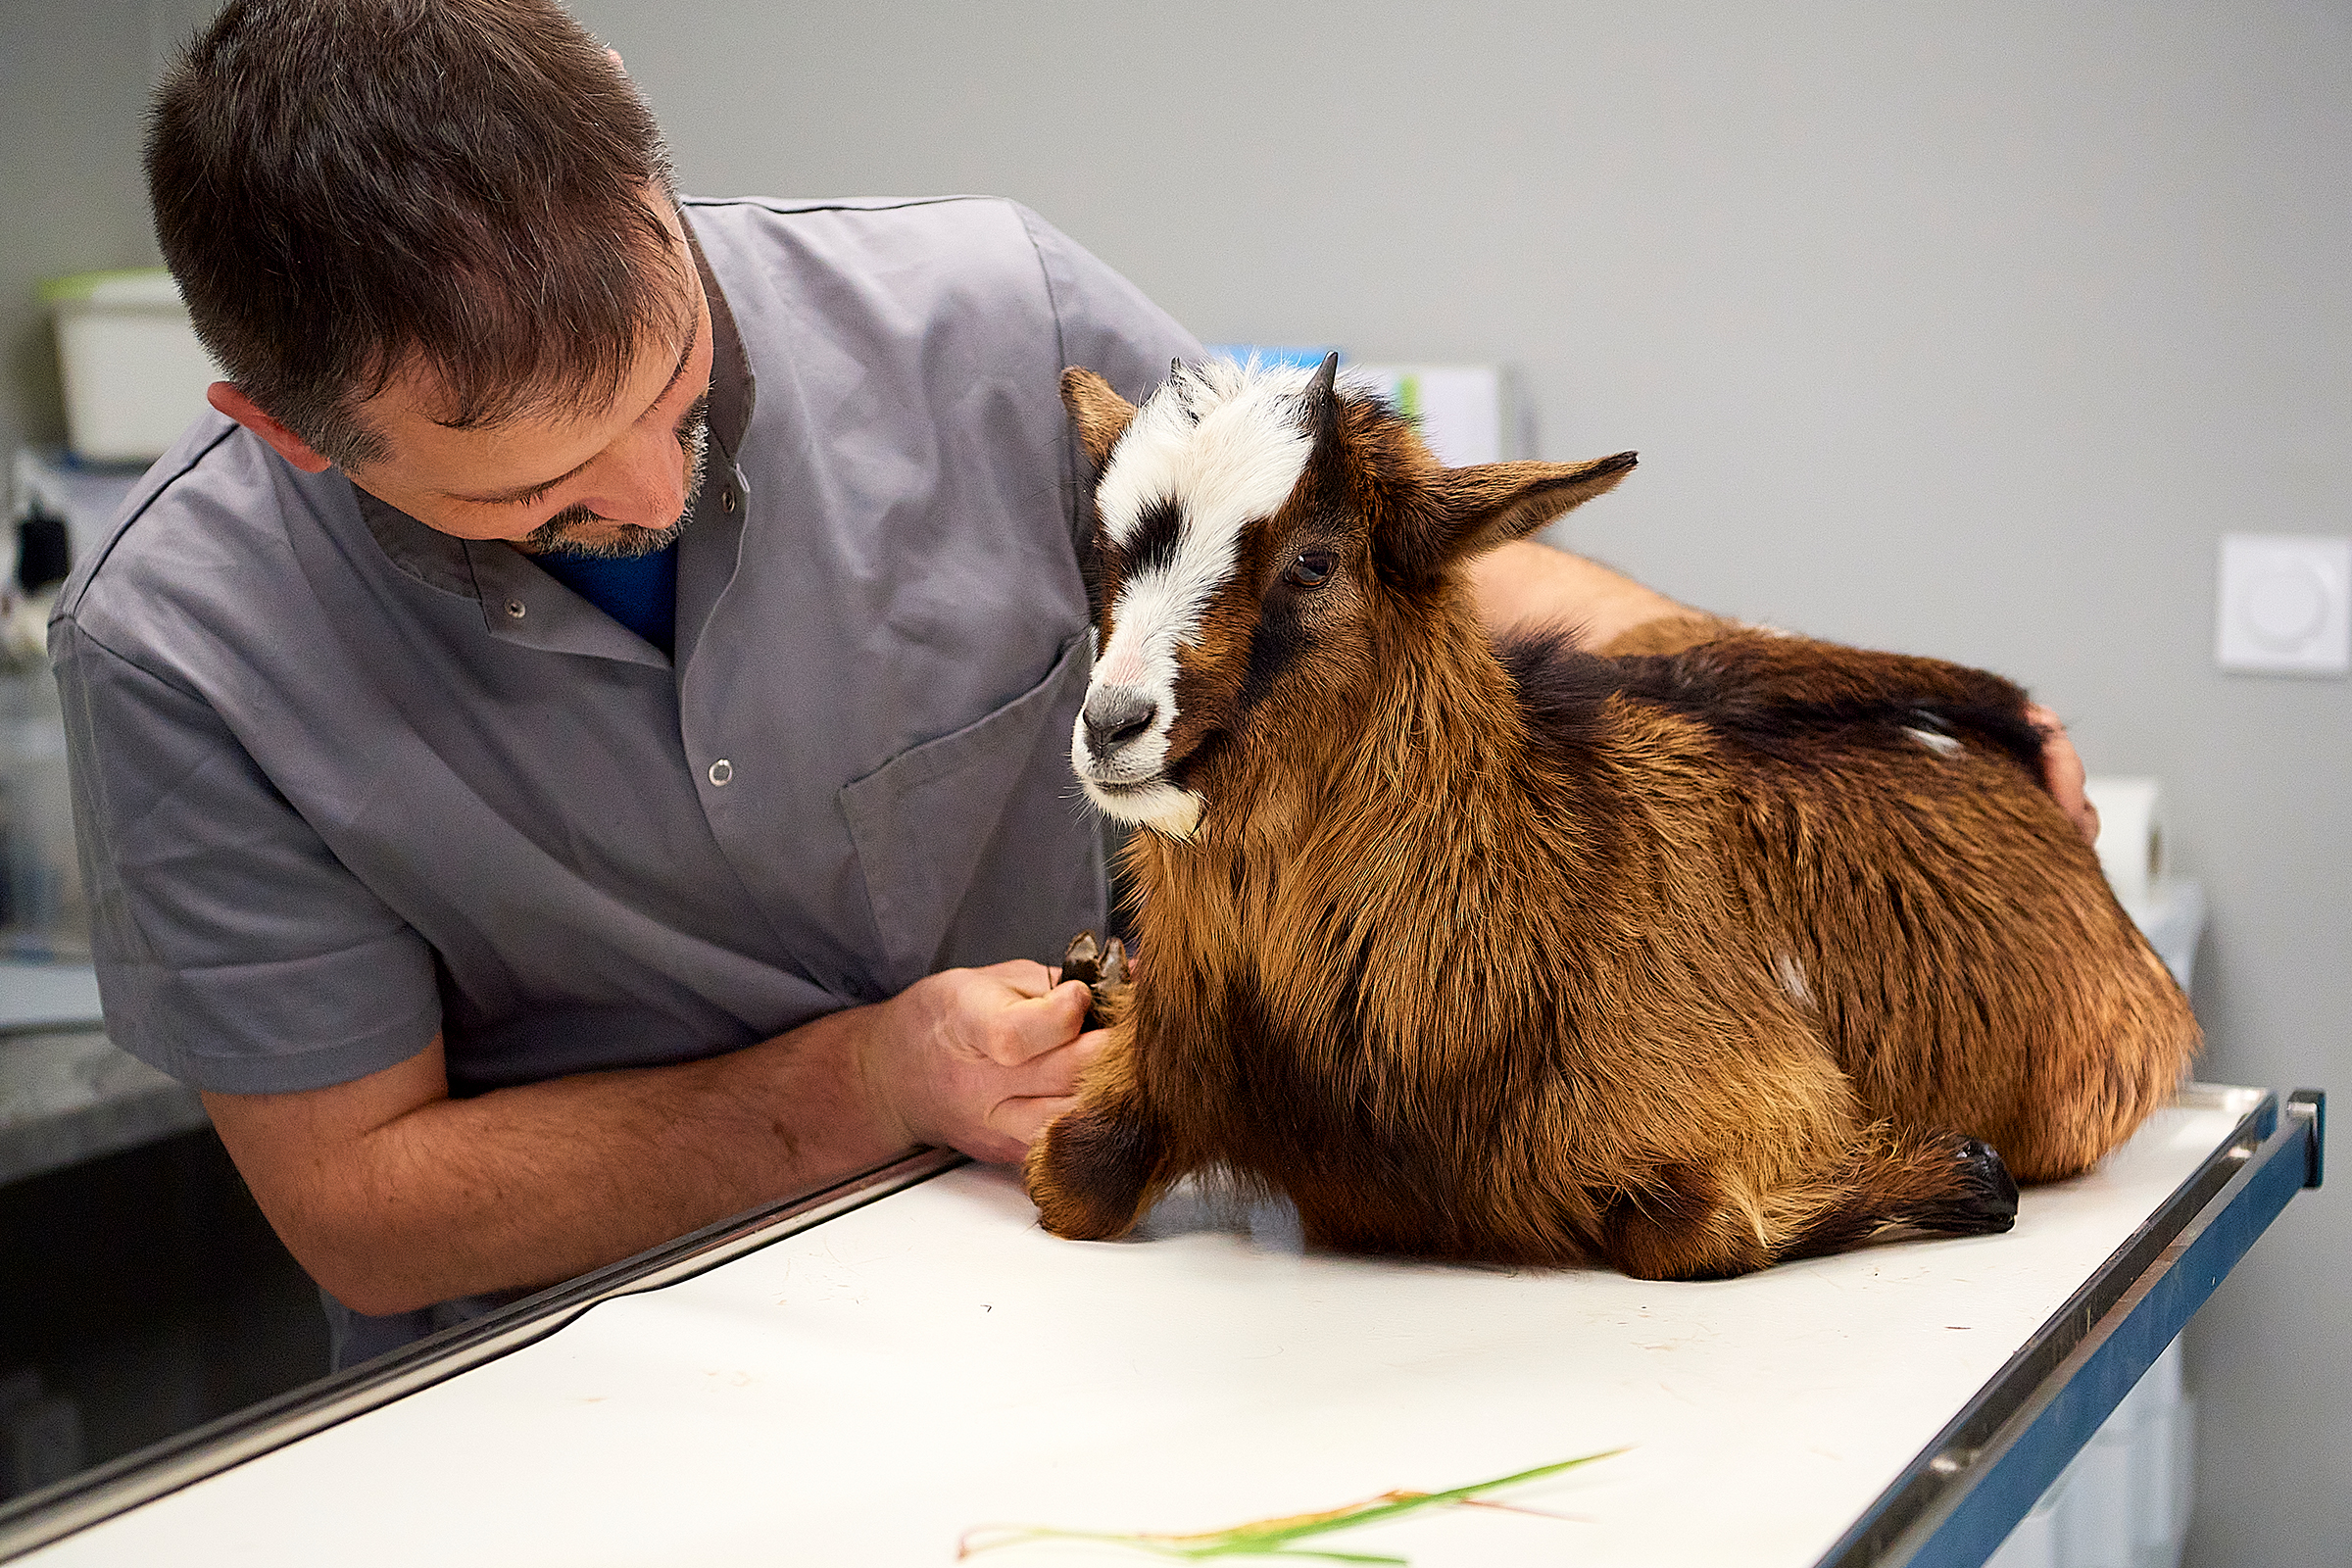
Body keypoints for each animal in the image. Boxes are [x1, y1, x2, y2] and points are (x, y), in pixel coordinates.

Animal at [1035, 360, 2201, 1288]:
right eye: (1104, 549)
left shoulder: (1764, 1111)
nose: (1112, 723)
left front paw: (1956, 1169)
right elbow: (1072, 1178)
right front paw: (1104, 988)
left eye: (1315, 560)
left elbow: (1694, 1228)